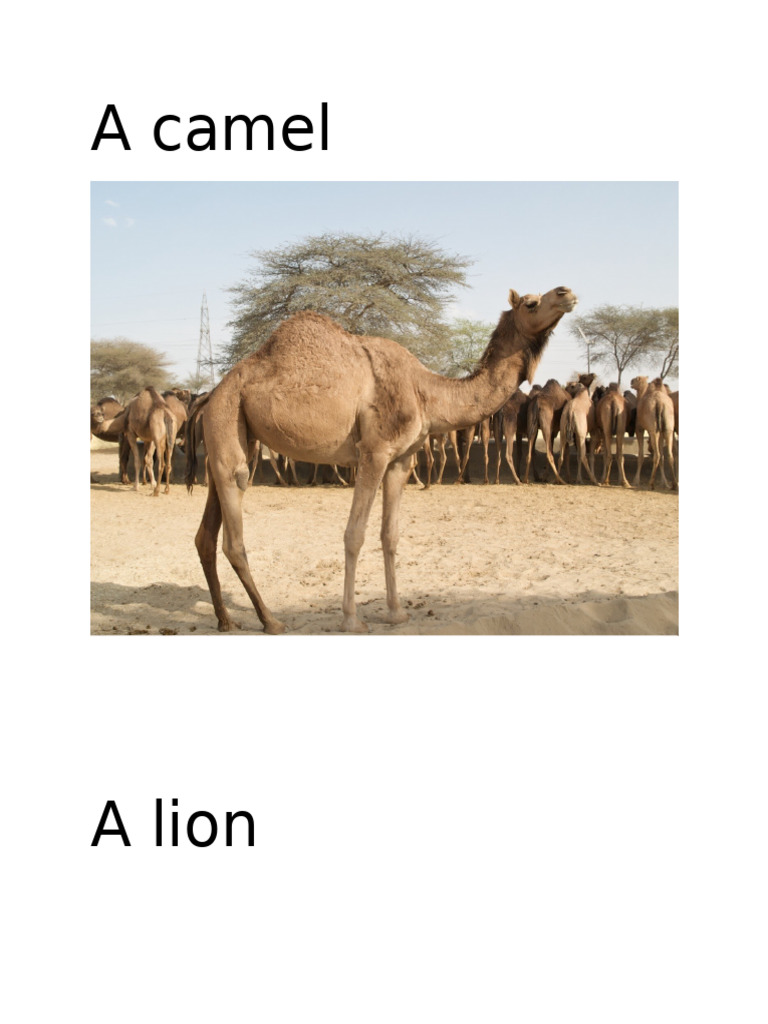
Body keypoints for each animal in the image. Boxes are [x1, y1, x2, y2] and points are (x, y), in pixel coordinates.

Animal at [184, 285, 577, 633]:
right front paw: (351, 620)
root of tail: (209, 395)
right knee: (233, 534)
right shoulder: (373, 452)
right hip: (228, 421)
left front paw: (397, 613)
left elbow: (390, 534)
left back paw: (226, 620)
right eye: (529, 302)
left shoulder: (400, 460)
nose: (566, 293)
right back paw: (271, 621)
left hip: (231, 438)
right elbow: (354, 534)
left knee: (205, 534)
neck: (425, 392)